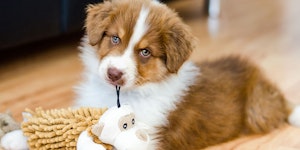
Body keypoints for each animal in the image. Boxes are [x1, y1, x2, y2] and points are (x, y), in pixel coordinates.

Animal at [74, 0, 300, 149]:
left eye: (145, 52)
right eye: (115, 38)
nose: (114, 74)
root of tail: (254, 71)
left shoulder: (146, 140)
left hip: (258, 110)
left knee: (280, 106)